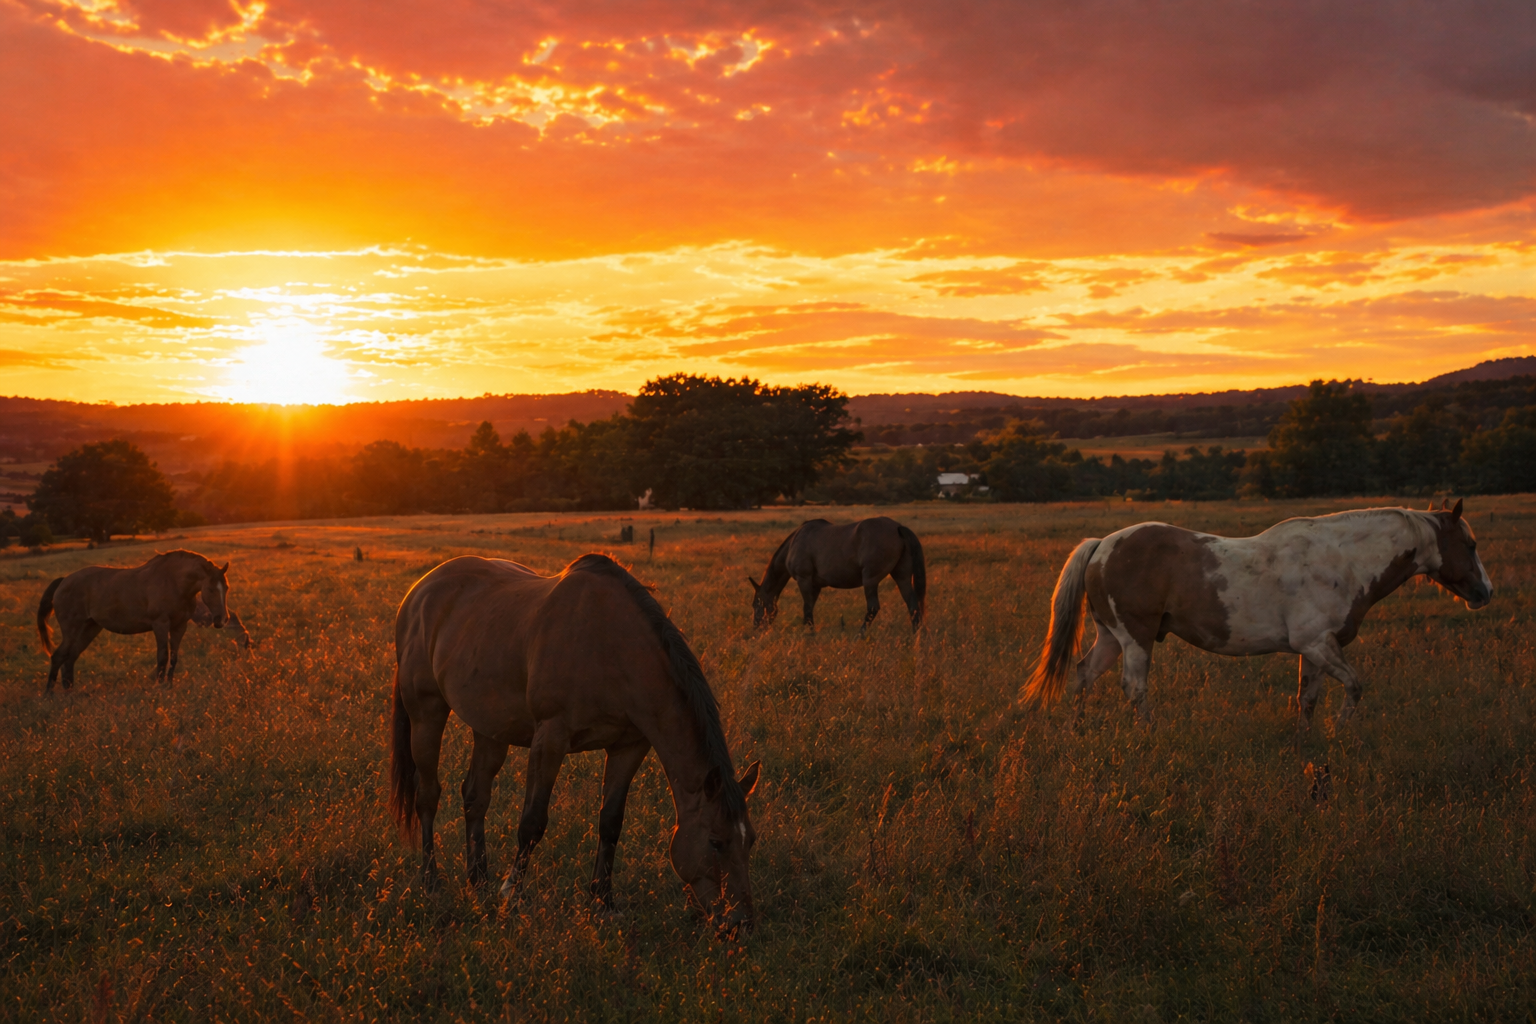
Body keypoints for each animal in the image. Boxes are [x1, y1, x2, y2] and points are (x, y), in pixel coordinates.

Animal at [36, 550, 231, 693]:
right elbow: (163, 656)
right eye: (211, 589)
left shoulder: (179, 627)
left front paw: (169, 685)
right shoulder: (160, 625)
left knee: (70, 658)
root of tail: (64, 580)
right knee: (58, 656)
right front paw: (159, 685)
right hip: (72, 630)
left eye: (226, 588)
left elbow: (174, 658)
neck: (173, 582)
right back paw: (49, 694)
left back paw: (69, 692)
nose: (222, 620)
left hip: (89, 628)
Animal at [392, 553, 761, 934]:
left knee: (475, 796)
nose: (741, 922)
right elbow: (532, 822)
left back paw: (478, 882)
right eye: (716, 842)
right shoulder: (550, 739)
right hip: (426, 713)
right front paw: (512, 894)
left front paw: (603, 900)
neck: (612, 647)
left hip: (490, 728)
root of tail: (419, 591)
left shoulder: (629, 746)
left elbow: (611, 822)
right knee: (428, 795)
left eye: (750, 841)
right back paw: (432, 881)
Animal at [748, 517, 926, 635]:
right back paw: (916, 634)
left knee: (873, 607)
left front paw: (810, 633)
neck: (795, 542)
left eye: (756, 604)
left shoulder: (803, 580)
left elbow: (807, 607)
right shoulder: (815, 585)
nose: (756, 628)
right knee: (912, 604)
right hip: (902, 577)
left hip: (870, 580)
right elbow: (809, 607)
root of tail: (898, 528)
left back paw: (860, 635)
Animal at [1023, 501, 1491, 727]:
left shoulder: (1316, 650)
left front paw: (1307, 744)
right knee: (1134, 688)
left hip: (1110, 636)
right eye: (1469, 545)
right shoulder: (1318, 644)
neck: (1342, 561)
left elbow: (1307, 700)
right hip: (1134, 638)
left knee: (1084, 674)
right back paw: (1148, 735)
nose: (1485, 592)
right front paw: (1341, 732)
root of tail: (1103, 544)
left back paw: (1079, 731)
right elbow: (1354, 688)